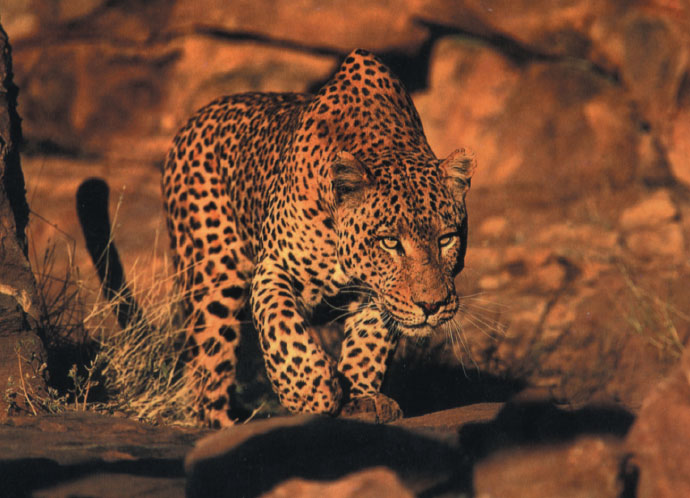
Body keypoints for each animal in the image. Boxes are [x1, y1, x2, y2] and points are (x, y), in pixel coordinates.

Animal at [162, 48, 476, 427]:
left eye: (446, 240)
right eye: (390, 242)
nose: (432, 306)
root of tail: (197, 117)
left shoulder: (375, 293)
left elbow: (370, 342)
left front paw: (361, 398)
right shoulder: (274, 267)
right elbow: (281, 325)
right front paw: (312, 392)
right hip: (213, 277)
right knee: (209, 361)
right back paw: (221, 422)